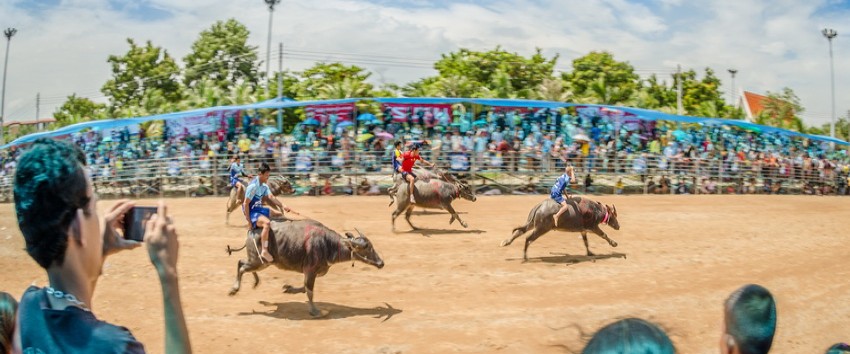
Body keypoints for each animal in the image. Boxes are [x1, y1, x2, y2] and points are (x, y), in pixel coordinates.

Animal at [227, 220, 382, 316]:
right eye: (366, 248)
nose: (381, 263)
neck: (327, 244)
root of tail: (251, 231)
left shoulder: (314, 272)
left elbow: (304, 288)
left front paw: (289, 289)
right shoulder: (311, 270)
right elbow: (309, 291)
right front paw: (316, 312)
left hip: (259, 262)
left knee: (242, 263)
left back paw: (255, 282)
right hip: (260, 261)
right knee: (242, 266)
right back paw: (234, 289)